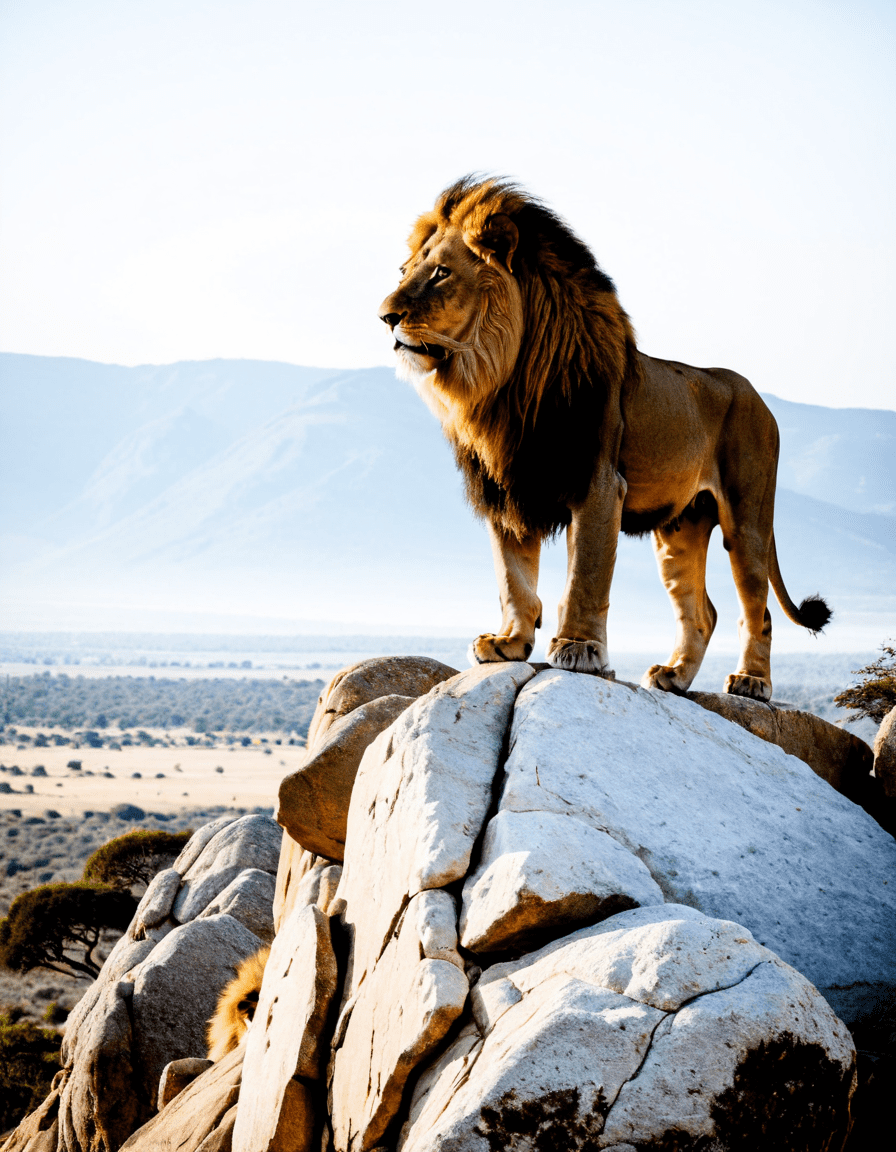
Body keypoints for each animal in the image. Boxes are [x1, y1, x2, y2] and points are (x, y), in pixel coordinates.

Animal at [378, 176, 831, 701]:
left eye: (441, 274)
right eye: (407, 271)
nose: (385, 316)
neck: (504, 385)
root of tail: (758, 396)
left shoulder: (597, 483)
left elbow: (585, 578)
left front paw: (578, 649)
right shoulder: (508, 490)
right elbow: (513, 578)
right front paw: (510, 643)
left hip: (747, 520)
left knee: (758, 610)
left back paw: (751, 682)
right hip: (680, 526)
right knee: (701, 612)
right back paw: (674, 676)